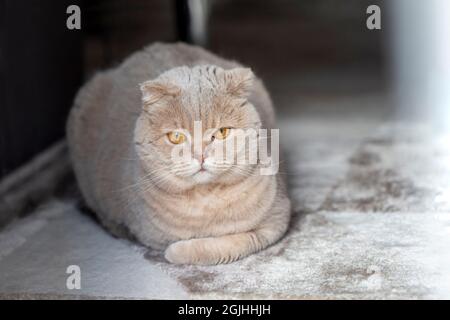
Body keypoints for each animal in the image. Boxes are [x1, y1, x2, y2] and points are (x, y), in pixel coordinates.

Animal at [67, 43, 292, 266]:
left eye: (221, 132)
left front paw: (180, 250)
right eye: (176, 137)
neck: (206, 200)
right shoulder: (148, 234)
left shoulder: (277, 220)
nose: (200, 156)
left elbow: (232, 242)